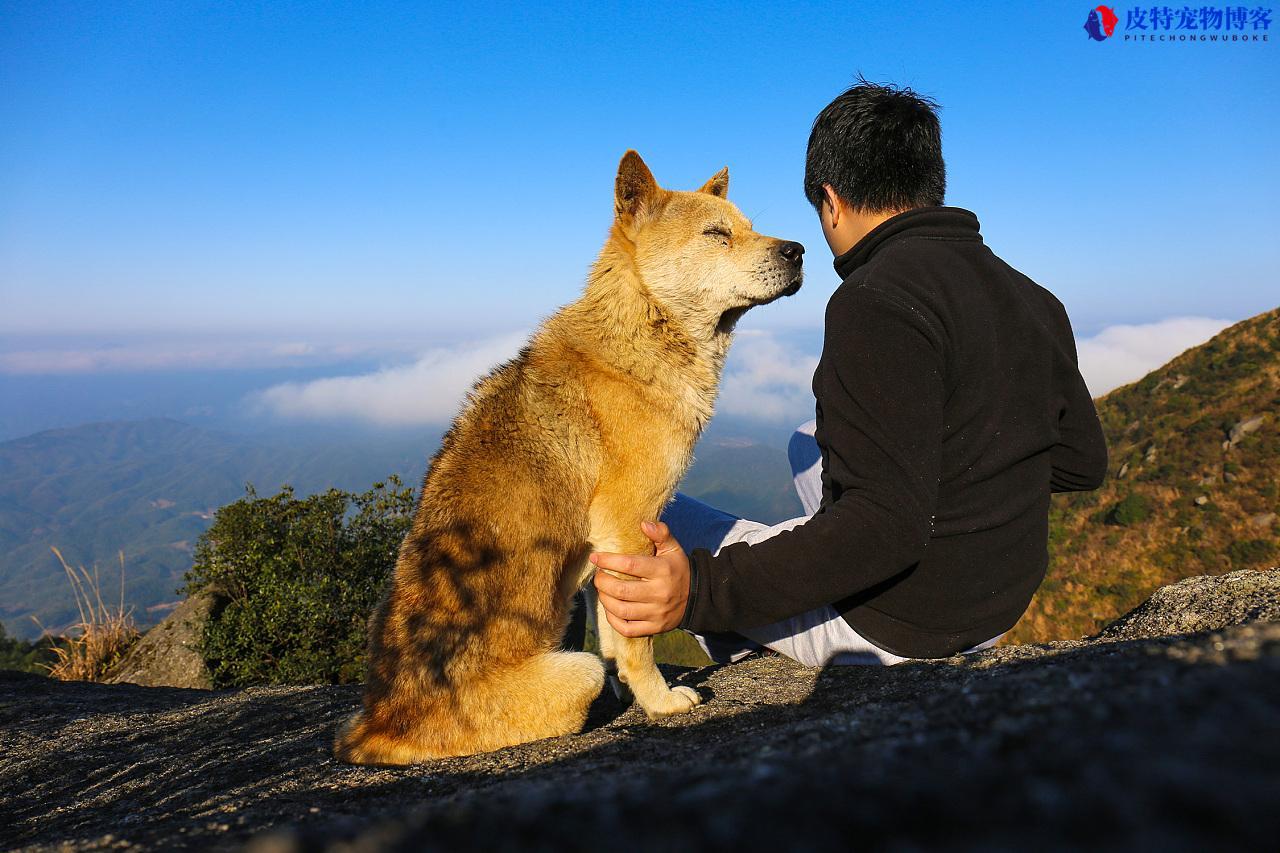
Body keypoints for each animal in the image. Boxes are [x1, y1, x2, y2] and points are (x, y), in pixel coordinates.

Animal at [335, 149, 803, 758]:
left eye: (749, 227)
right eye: (716, 234)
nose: (799, 251)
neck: (643, 330)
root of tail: (375, 726)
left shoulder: (609, 550)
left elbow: (614, 636)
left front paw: (632, 692)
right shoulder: (626, 526)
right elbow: (635, 642)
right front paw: (659, 702)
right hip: (573, 671)